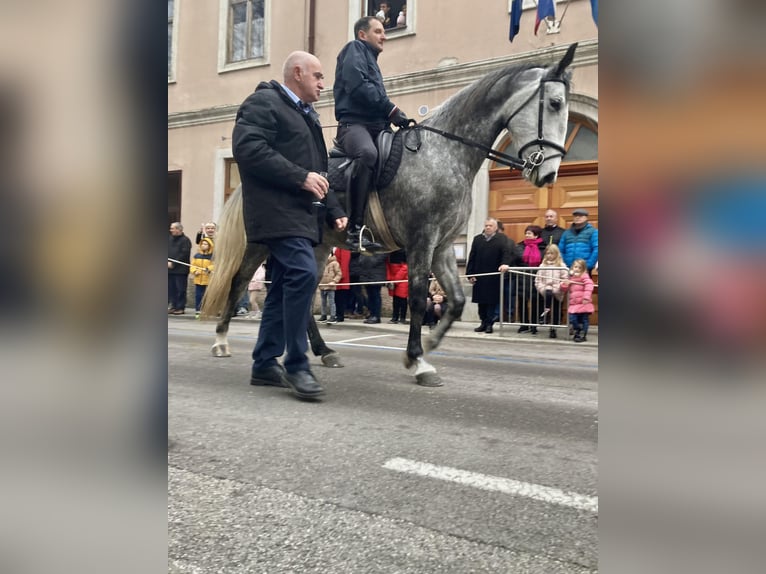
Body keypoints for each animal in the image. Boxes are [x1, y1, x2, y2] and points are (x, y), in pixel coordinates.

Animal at [201, 44, 580, 388]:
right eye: (555, 103)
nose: (548, 174)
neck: (444, 152)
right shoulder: (421, 240)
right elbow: (417, 297)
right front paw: (418, 360)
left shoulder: (443, 246)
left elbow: (457, 301)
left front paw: (430, 343)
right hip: (262, 244)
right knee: (239, 281)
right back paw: (221, 340)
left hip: (319, 247)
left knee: (304, 297)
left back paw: (324, 351)